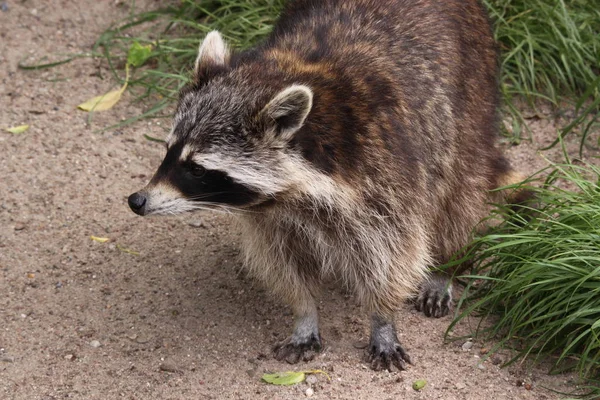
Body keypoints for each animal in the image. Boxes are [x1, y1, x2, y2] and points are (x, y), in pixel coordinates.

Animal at [129, 0, 524, 372]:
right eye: (169, 151)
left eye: (197, 169)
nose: (137, 200)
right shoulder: (271, 217)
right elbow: (283, 262)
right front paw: (304, 313)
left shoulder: (386, 176)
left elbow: (393, 255)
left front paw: (382, 319)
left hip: (472, 93)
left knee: (460, 190)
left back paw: (448, 262)